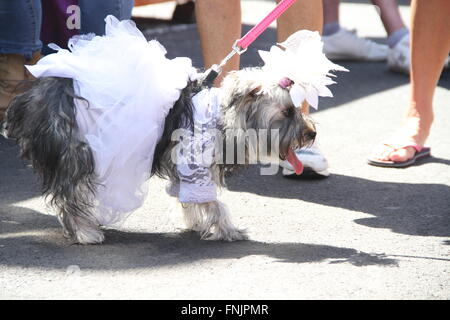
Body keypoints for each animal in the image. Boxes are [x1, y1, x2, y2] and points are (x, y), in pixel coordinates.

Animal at [1, 16, 344, 244]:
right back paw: (86, 232)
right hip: (77, 151)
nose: (311, 133)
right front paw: (229, 230)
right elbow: (215, 203)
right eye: (287, 112)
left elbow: (189, 200)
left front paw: (196, 224)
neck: (224, 119)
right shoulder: (196, 165)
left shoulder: (186, 171)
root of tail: (36, 96)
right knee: (70, 192)